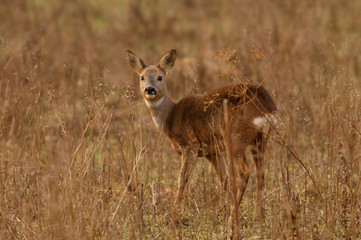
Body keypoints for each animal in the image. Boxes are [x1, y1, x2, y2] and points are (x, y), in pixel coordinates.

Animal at [125, 48, 278, 227]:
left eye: (160, 77)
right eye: (142, 77)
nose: (150, 89)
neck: (170, 118)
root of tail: (267, 107)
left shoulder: (190, 144)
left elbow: (182, 180)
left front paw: (173, 216)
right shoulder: (211, 151)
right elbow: (224, 181)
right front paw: (235, 212)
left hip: (235, 137)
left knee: (245, 172)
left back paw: (233, 220)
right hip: (260, 139)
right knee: (261, 172)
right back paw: (257, 217)